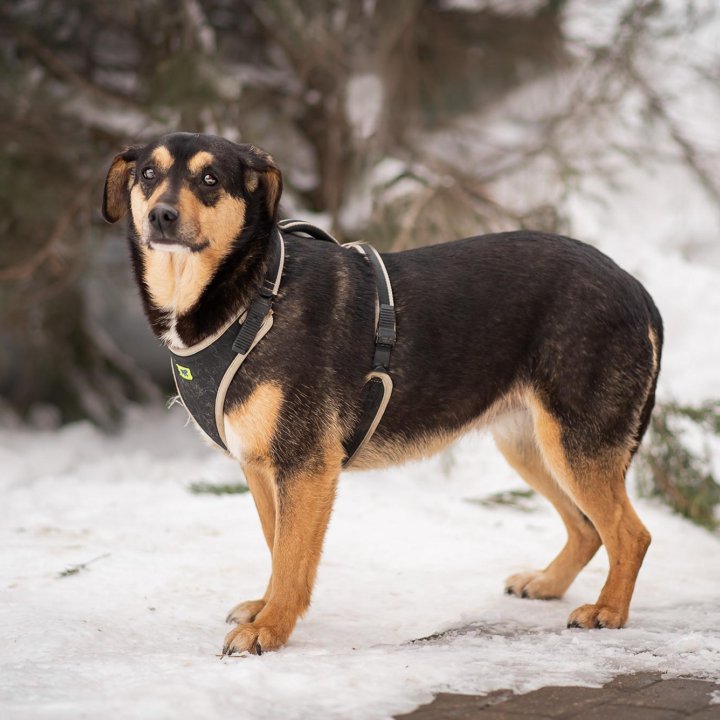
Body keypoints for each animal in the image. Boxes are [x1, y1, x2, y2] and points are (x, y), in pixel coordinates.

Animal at [101, 132, 664, 656]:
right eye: (148, 174)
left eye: (210, 179)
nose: (162, 215)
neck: (252, 297)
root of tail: (635, 288)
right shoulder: (260, 466)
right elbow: (276, 544)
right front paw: (265, 610)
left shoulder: (305, 465)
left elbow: (291, 556)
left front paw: (270, 628)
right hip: (530, 443)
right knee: (588, 529)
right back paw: (548, 583)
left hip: (575, 442)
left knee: (631, 534)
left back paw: (609, 611)